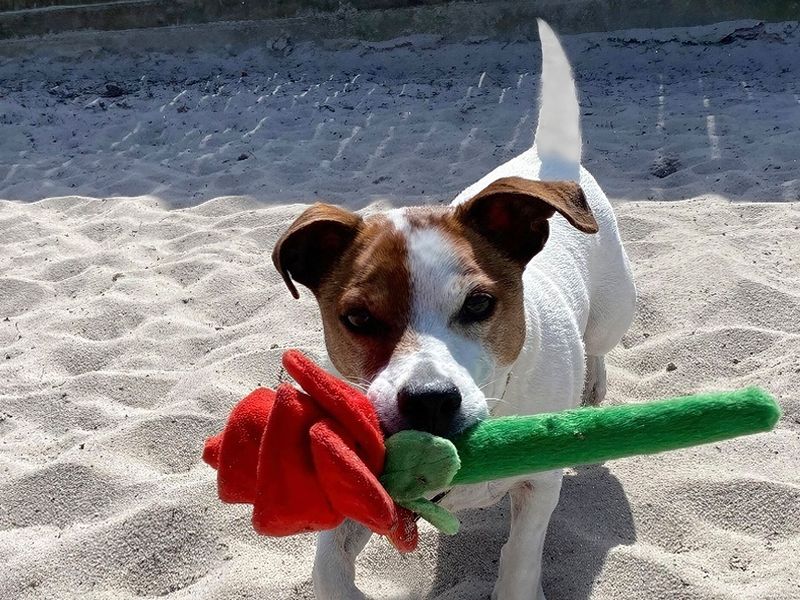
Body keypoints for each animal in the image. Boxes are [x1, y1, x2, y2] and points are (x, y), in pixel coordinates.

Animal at [272, 19, 636, 600]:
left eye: (479, 304)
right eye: (358, 319)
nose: (429, 401)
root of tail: (545, 160)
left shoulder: (539, 486)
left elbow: (521, 558)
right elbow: (328, 567)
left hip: (615, 307)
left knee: (598, 345)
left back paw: (593, 385)